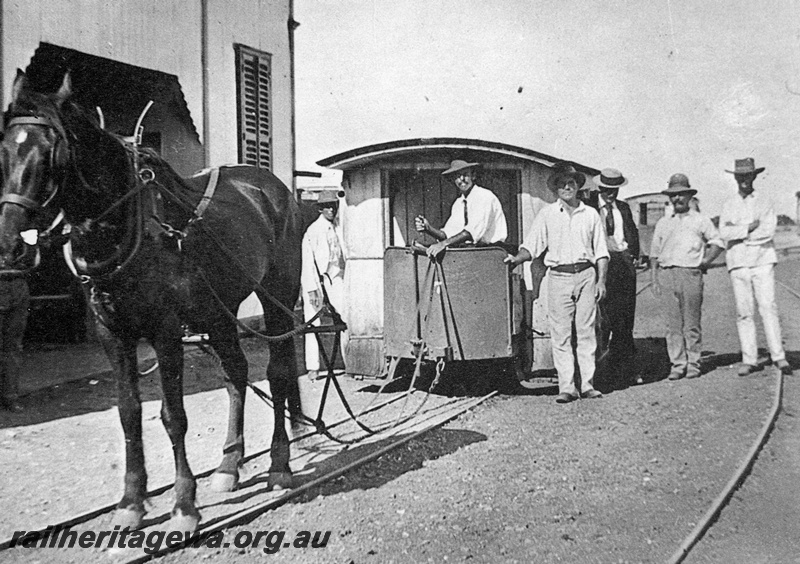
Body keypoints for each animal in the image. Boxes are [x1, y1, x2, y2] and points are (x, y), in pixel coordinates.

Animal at [0, 72, 306, 536]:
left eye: (52, 154)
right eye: (4, 149)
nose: (10, 245)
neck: (127, 224)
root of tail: (275, 189)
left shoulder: (165, 332)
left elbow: (173, 416)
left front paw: (183, 505)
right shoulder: (113, 334)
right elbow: (129, 414)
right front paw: (131, 501)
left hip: (279, 297)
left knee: (279, 373)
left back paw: (279, 465)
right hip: (219, 309)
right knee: (236, 373)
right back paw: (229, 464)